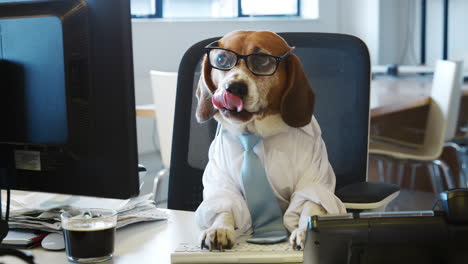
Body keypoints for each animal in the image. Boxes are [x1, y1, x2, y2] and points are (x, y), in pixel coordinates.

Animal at [196, 30, 346, 250]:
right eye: (222, 59)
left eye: (262, 60)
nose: (234, 88)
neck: (256, 134)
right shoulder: (222, 180)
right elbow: (225, 206)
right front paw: (219, 228)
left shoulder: (314, 180)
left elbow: (309, 206)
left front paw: (305, 231)